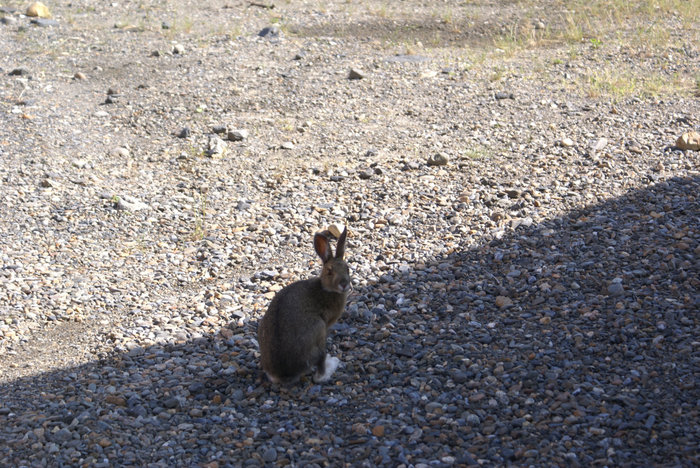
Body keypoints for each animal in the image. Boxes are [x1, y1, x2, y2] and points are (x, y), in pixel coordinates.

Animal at [258, 227, 350, 384]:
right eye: (329, 271)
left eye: (348, 268)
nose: (344, 284)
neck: (326, 289)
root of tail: (284, 374)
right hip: (319, 331)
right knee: (319, 371)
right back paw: (331, 364)